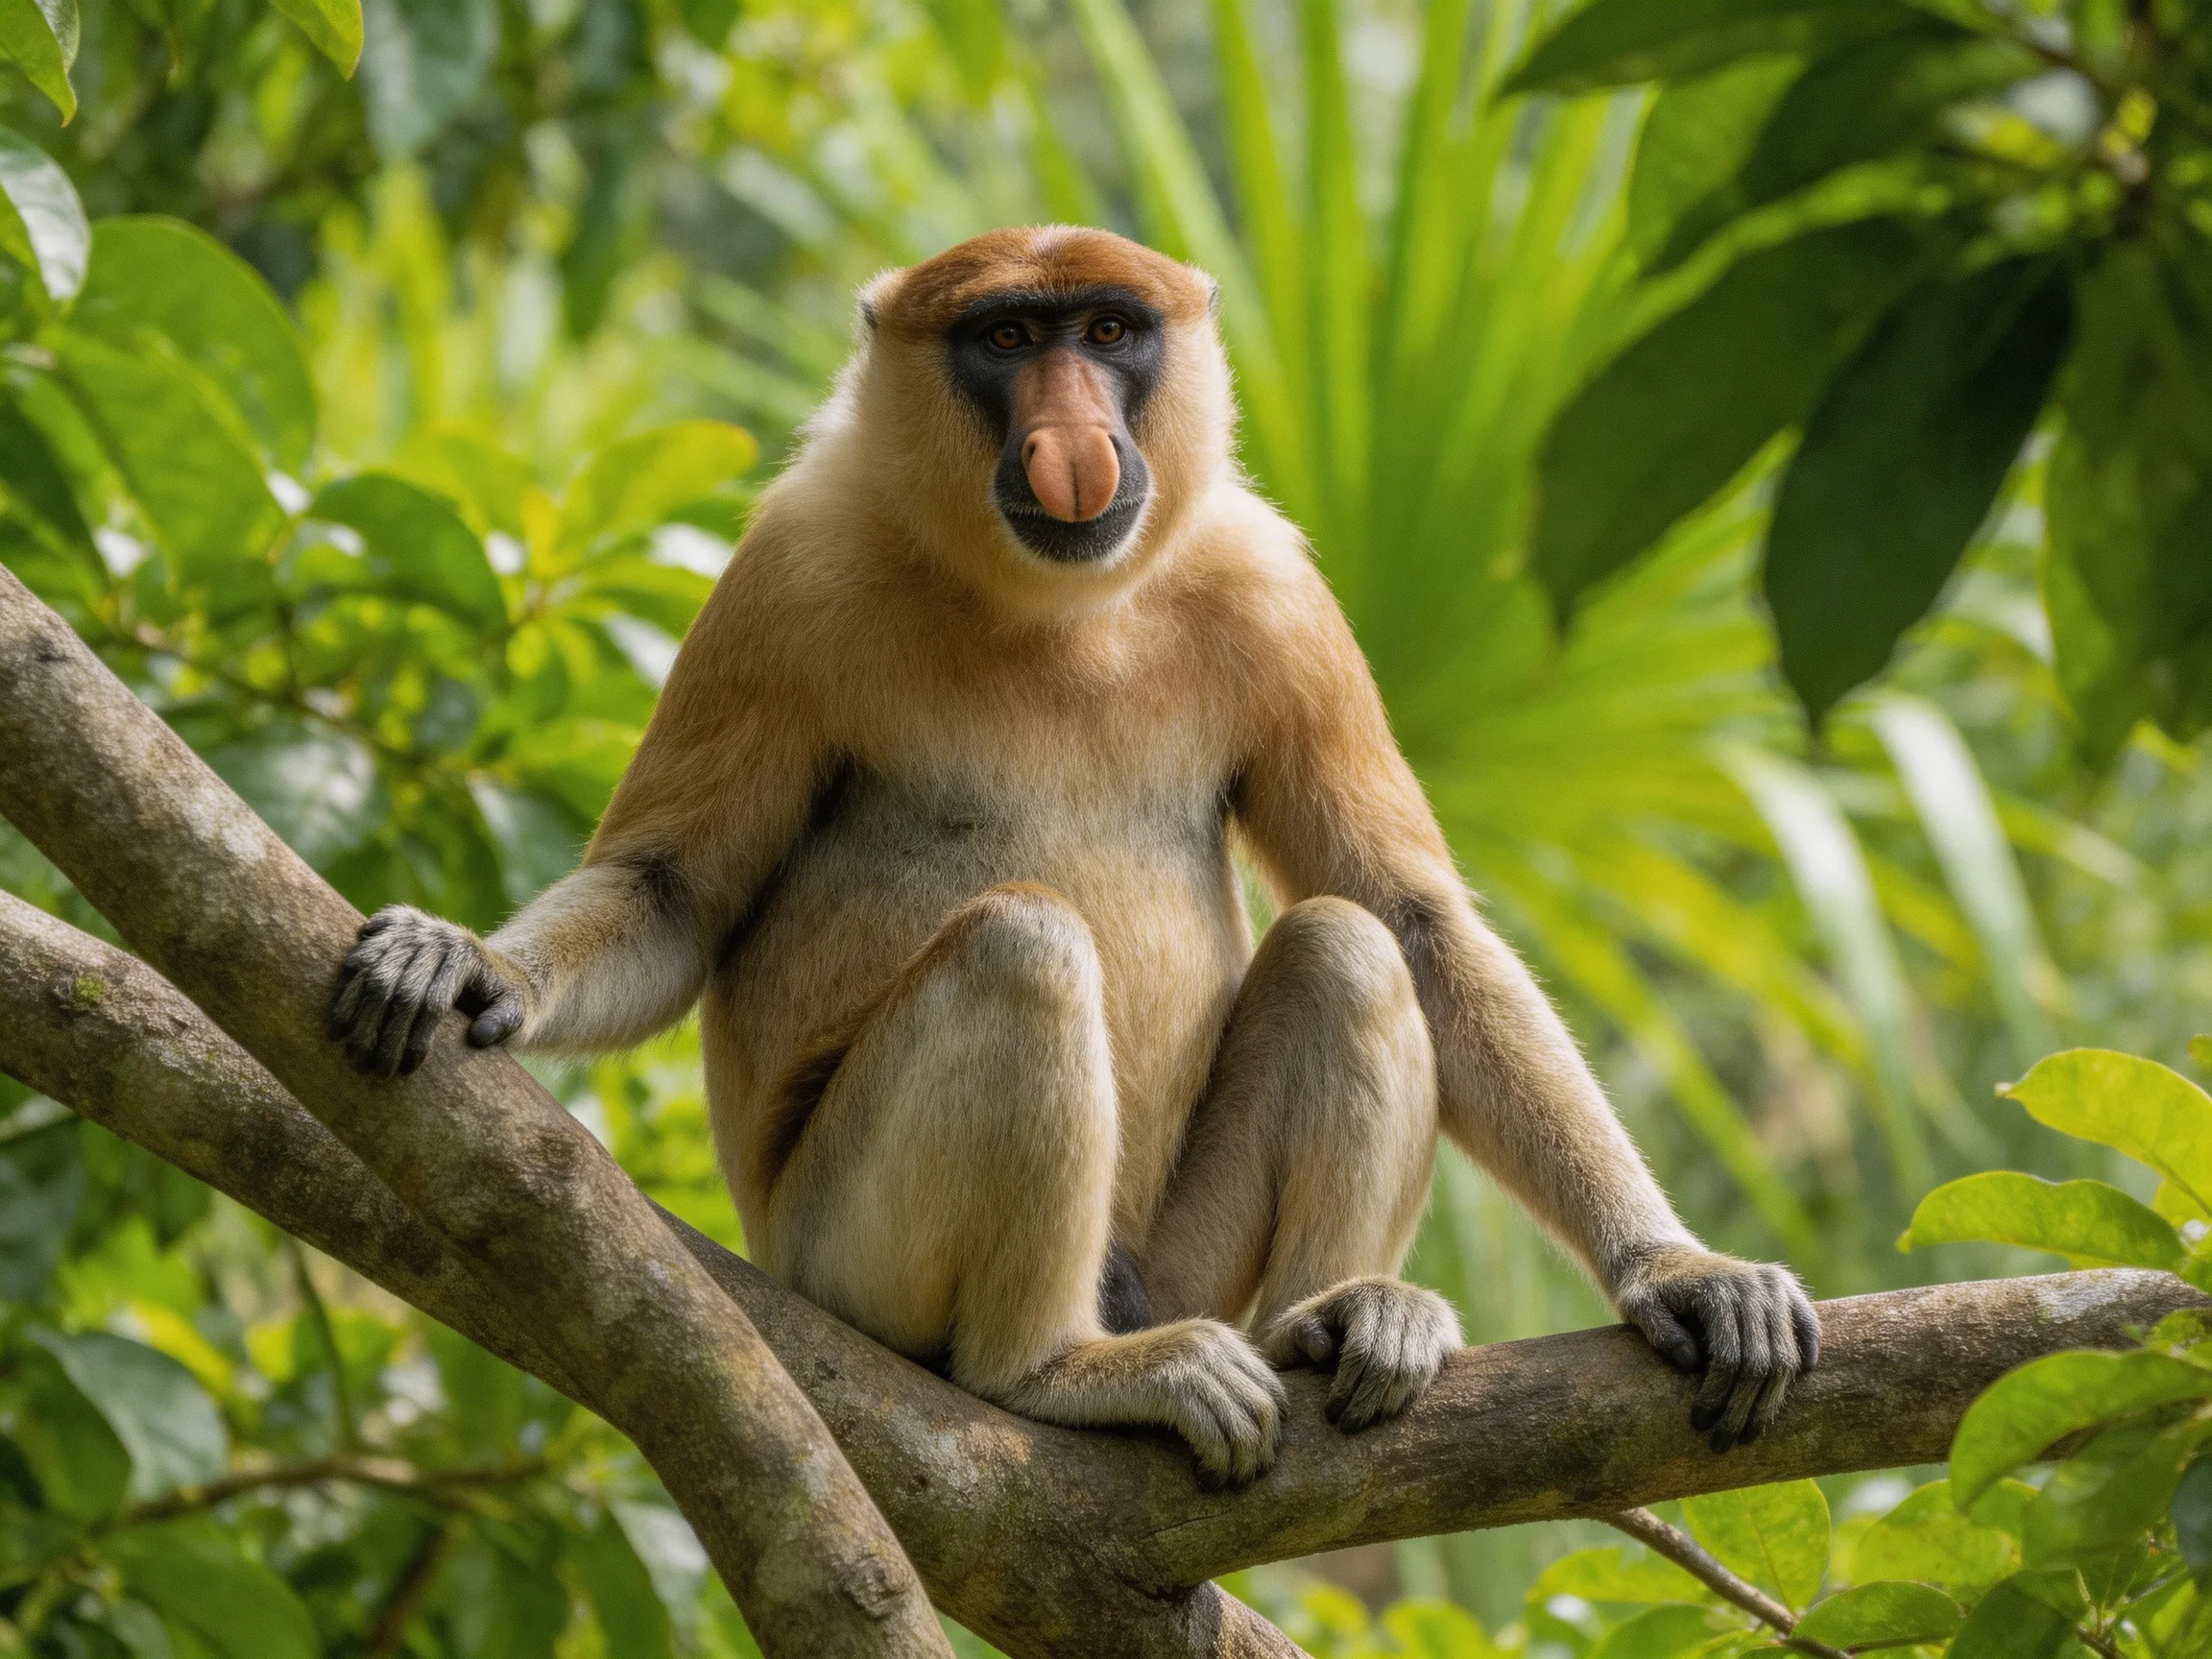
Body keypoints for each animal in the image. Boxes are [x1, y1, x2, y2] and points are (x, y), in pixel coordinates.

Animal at [327, 226, 1819, 1487]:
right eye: (1004, 338)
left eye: (1107, 330)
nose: (1071, 434)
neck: (1053, 601)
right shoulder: (786, 575)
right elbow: (673, 893)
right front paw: (465, 967)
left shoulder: (1278, 590)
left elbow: (1415, 917)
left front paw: (1682, 1273)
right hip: (837, 1250)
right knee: (1021, 946)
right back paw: (1048, 1371)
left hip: (1179, 1255)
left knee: (1346, 947)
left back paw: (1342, 1323)